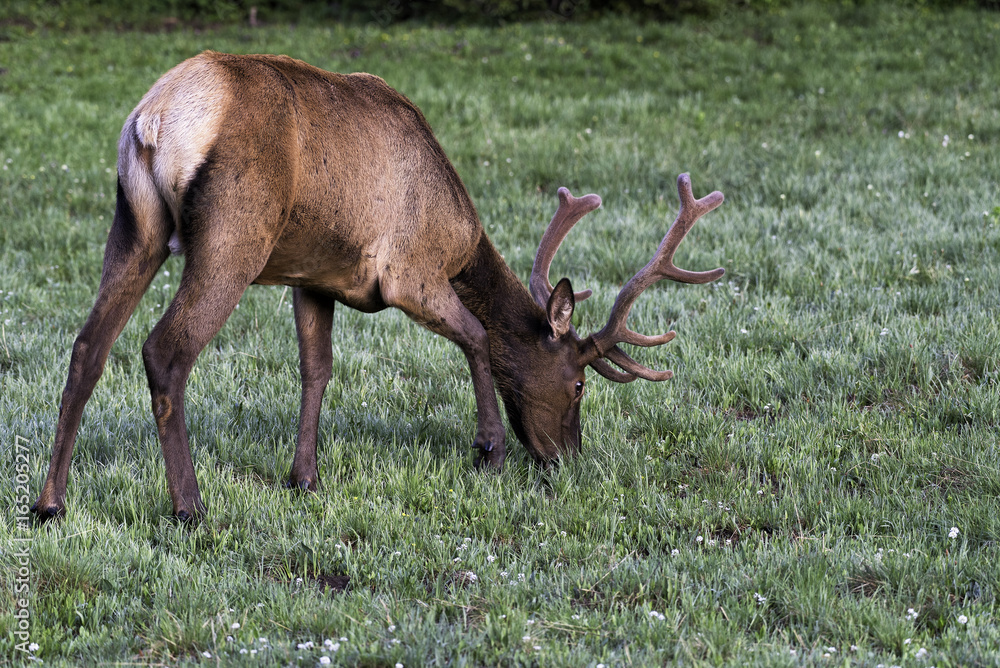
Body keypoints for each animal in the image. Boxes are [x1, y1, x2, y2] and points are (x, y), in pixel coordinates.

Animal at [32, 52, 725, 522]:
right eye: (578, 383)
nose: (566, 457)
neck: (460, 237)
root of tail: (153, 119)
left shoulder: (311, 277)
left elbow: (316, 369)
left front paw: (304, 477)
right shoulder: (409, 272)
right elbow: (477, 337)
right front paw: (489, 449)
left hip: (135, 224)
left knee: (88, 346)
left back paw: (50, 503)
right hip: (233, 236)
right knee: (164, 351)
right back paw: (190, 506)